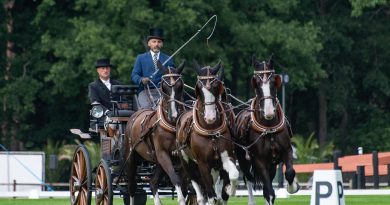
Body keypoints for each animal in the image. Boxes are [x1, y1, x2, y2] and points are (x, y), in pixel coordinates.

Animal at [124, 61, 187, 205]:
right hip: (131, 158)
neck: (172, 125)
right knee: (131, 186)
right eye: (163, 87)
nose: (174, 115)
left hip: (157, 162)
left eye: (180, 86)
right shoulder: (163, 154)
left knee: (153, 183)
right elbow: (175, 179)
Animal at [176, 60, 238, 205]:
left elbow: (233, 175)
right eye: (199, 88)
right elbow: (211, 196)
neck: (211, 132)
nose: (210, 118)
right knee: (195, 183)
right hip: (187, 162)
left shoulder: (226, 158)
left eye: (217, 87)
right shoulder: (203, 164)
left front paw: (230, 190)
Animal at [233, 54, 300, 205]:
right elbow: (269, 192)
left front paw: (292, 187)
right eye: (256, 83)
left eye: (274, 81)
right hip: (244, 160)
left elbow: (289, 172)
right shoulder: (260, 161)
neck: (269, 128)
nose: (268, 112)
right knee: (249, 179)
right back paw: (251, 201)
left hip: (272, 165)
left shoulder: (286, 151)